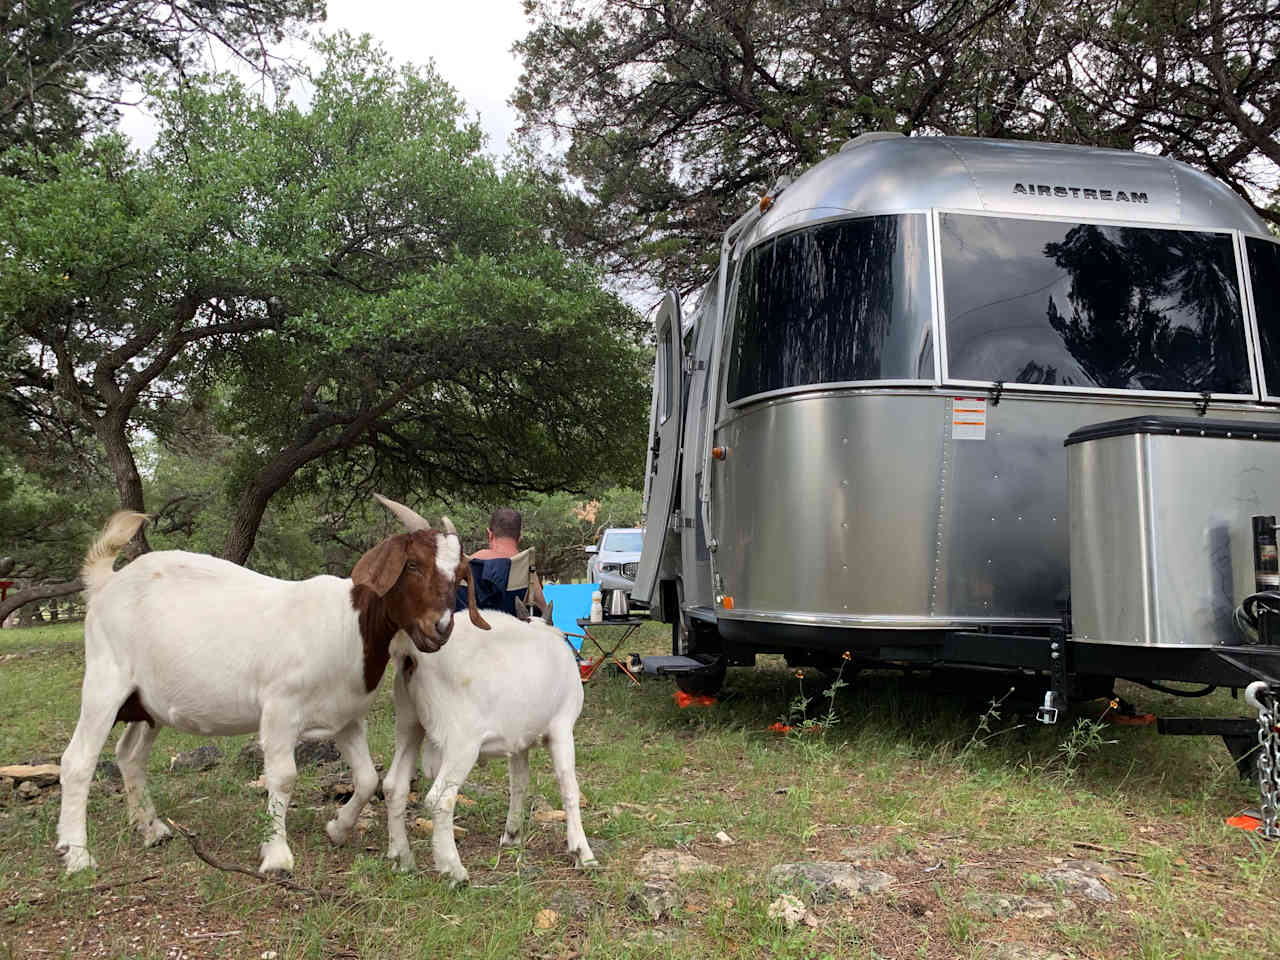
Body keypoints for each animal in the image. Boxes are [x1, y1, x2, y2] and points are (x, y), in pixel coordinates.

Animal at [55, 504, 486, 880]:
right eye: (412, 565)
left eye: (459, 576)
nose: (440, 628)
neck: (351, 624)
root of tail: (107, 583)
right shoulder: (280, 708)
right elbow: (283, 777)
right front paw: (277, 856)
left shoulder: (345, 716)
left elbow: (366, 779)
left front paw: (338, 828)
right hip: (105, 681)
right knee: (77, 760)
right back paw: (77, 855)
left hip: (147, 704)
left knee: (130, 755)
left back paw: (152, 830)